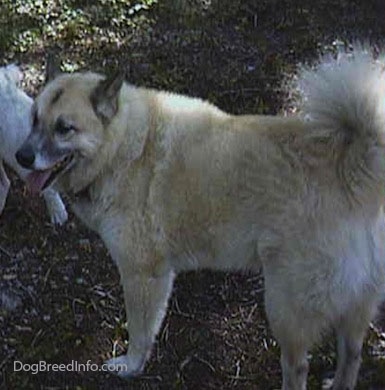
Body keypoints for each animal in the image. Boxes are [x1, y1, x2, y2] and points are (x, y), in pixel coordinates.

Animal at [16, 49, 384, 390]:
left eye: (64, 129)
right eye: (34, 119)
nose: (21, 157)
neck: (123, 148)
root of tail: (352, 168)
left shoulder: (142, 275)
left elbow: (140, 332)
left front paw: (132, 366)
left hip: (285, 308)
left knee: (298, 369)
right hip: (353, 305)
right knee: (352, 354)